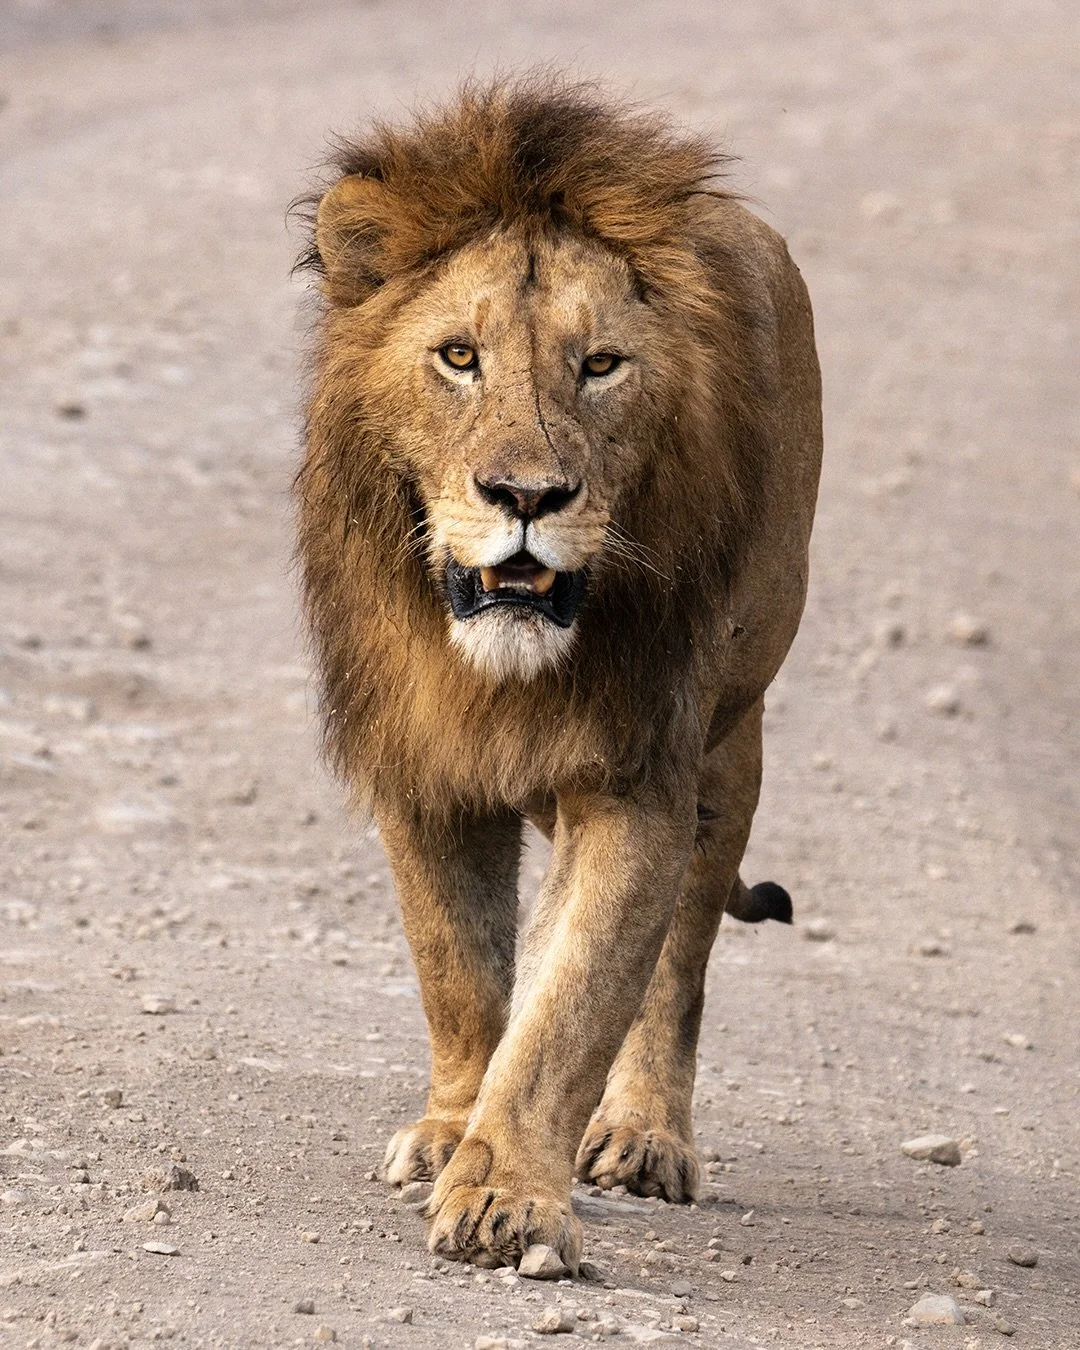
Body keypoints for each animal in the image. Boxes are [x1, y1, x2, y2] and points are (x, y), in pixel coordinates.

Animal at [294, 75, 822, 1275]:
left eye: (601, 364)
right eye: (458, 357)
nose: (526, 496)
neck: (499, 672)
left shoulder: (635, 777)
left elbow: (572, 1007)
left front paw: (508, 1198)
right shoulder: (424, 767)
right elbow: (460, 974)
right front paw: (451, 1136)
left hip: (732, 741)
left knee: (680, 967)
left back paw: (644, 1138)